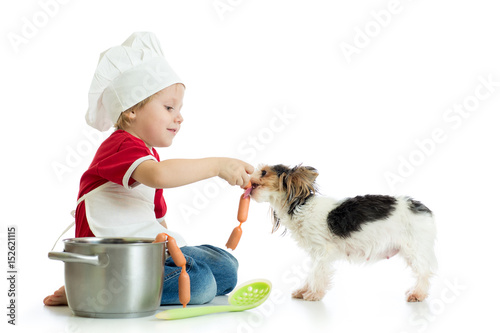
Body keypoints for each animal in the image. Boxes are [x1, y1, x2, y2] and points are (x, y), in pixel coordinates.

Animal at [250, 163, 438, 300]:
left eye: (264, 172)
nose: (250, 176)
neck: (299, 206)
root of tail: (424, 209)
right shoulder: (314, 253)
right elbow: (311, 273)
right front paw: (304, 290)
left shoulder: (323, 251)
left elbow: (317, 273)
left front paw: (313, 294)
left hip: (415, 248)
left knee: (423, 272)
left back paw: (417, 294)